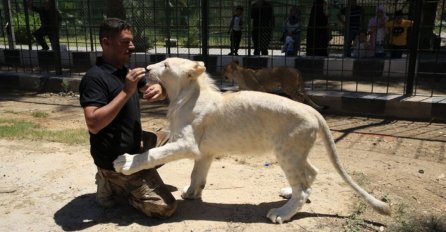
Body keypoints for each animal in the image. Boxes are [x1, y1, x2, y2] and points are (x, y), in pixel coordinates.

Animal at [114, 57, 390, 224]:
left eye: (166, 65)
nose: (147, 69)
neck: (183, 95)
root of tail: (313, 111)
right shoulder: (205, 152)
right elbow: (196, 173)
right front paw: (192, 193)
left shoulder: (187, 143)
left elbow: (153, 154)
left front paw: (125, 162)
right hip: (297, 150)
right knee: (311, 173)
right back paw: (288, 193)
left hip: (287, 151)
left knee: (304, 188)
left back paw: (281, 213)